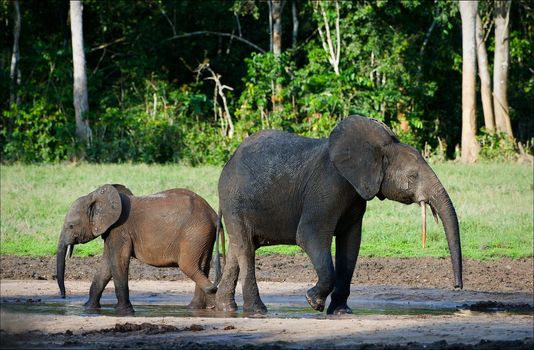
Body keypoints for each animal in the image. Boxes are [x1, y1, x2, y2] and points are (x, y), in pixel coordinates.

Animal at [57, 183, 225, 314]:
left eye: (71, 226)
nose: (63, 297)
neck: (96, 196)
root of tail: (214, 215)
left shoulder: (120, 230)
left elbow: (118, 261)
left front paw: (124, 311)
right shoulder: (110, 231)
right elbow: (106, 266)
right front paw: (89, 308)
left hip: (195, 234)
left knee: (189, 267)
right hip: (203, 237)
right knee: (202, 267)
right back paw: (194, 308)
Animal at [216, 115, 462, 314]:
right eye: (412, 176)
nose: (457, 287)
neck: (378, 148)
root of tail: (228, 162)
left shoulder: (355, 196)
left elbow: (351, 245)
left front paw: (341, 311)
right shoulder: (328, 186)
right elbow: (309, 235)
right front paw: (312, 302)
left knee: (239, 249)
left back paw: (226, 308)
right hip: (234, 200)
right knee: (245, 249)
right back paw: (257, 311)